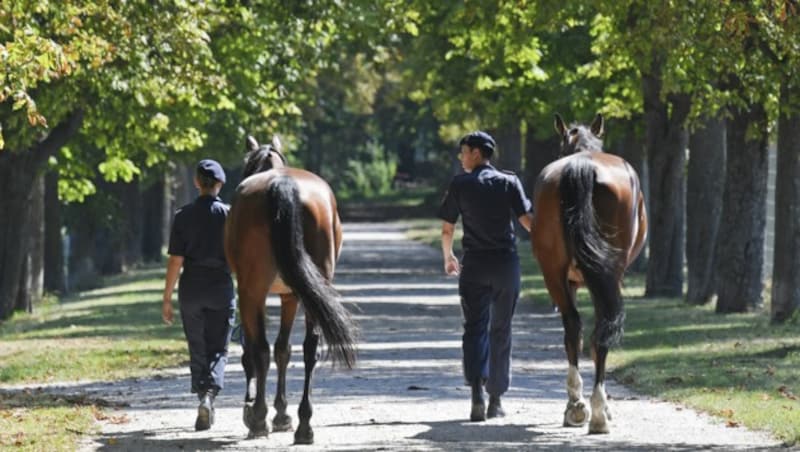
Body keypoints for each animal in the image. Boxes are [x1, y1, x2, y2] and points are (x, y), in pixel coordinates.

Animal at [225, 136, 356, 444]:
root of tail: (283, 185)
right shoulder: (291, 296)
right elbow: (283, 349)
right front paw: (283, 414)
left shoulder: (252, 294)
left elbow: (257, 351)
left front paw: (261, 413)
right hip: (314, 289)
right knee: (310, 349)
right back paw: (304, 424)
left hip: (254, 290)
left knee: (260, 350)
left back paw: (259, 418)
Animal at [532, 115, 648, 432]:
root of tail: (582, 166)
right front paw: (604, 407)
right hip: (607, 273)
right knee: (597, 331)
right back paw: (594, 410)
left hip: (554, 271)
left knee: (574, 326)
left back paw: (578, 406)